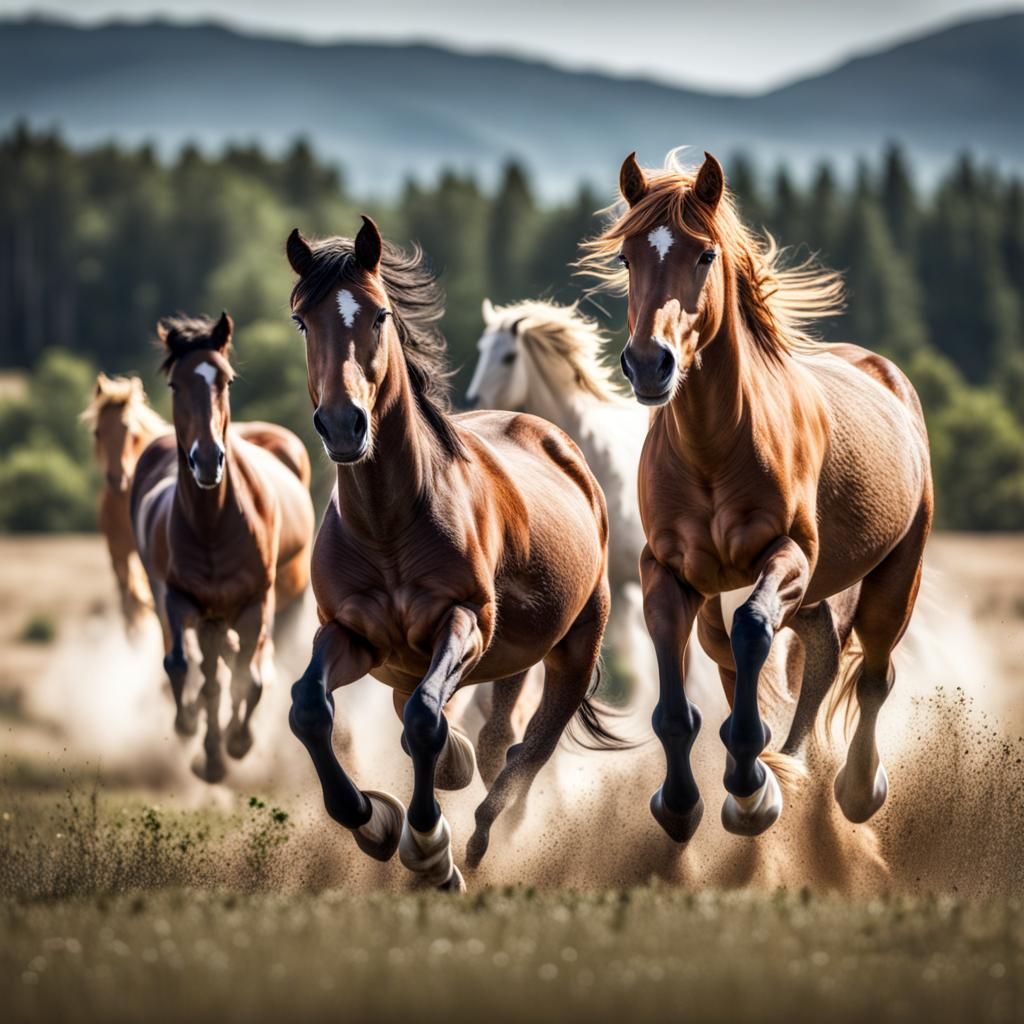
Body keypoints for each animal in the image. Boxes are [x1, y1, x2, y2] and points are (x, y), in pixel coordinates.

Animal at [131, 313, 316, 782]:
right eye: (175, 384)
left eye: (226, 380)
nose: (207, 459)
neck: (214, 524)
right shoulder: (182, 600)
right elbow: (183, 666)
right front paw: (199, 738)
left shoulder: (255, 603)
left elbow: (249, 679)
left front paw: (237, 743)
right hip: (198, 614)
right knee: (206, 672)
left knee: (242, 669)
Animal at [285, 217, 624, 891]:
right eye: (303, 320)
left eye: (379, 315)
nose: (343, 425)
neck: (389, 523)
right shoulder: (349, 633)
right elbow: (310, 709)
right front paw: (372, 822)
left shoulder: (463, 619)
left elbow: (424, 718)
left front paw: (427, 846)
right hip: (511, 653)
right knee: (494, 737)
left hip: (576, 642)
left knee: (528, 745)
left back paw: (484, 834)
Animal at [579, 150, 932, 841]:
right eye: (626, 257)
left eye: (705, 254)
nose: (650, 363)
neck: (714, 449)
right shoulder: (669, 569)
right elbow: (683, 679)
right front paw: (681, 802)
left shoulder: (789, 554)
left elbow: (751, 630)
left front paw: (750, 785)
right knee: (813, 658)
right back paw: (790, 761)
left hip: (893, 577)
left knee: (871, 673)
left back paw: (852, 788)